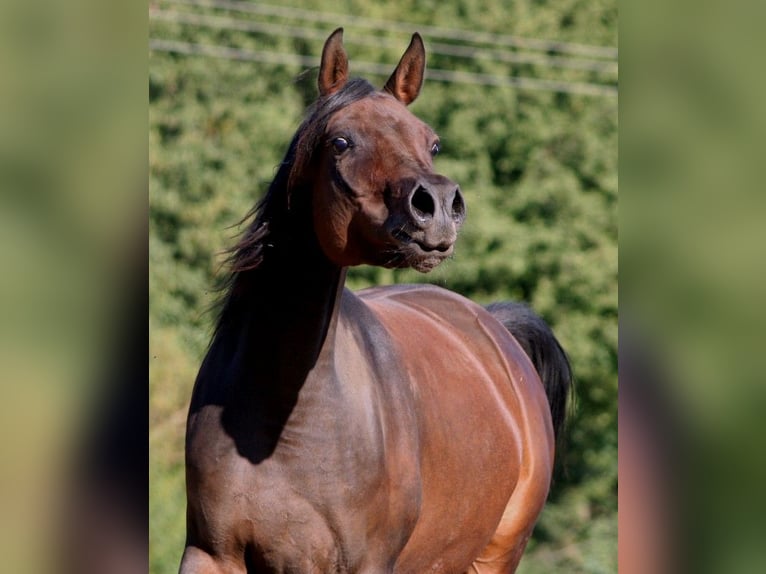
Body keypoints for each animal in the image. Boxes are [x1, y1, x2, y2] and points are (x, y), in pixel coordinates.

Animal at [180, 29, 572, 574]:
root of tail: (494, 327)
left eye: (432, 142)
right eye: (341, 141)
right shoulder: (211, 554)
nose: (438, 207)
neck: (285, 423)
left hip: (496, 557)